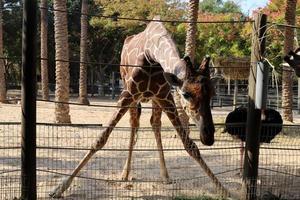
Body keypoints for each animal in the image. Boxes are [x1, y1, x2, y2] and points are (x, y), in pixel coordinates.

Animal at [49, 16, 227, 198]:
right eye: (185, 94)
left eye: (212, 93)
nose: (208, 136)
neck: (152, 55)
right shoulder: (129, 92)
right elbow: (101, 139)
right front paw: (60, 188)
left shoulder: (164, 95)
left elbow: (190, 145)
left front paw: (222, 189)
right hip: (132, 94)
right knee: (134, 124)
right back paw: (125, 174)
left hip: (155, 100)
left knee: (154, 123)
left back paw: (165, 176)